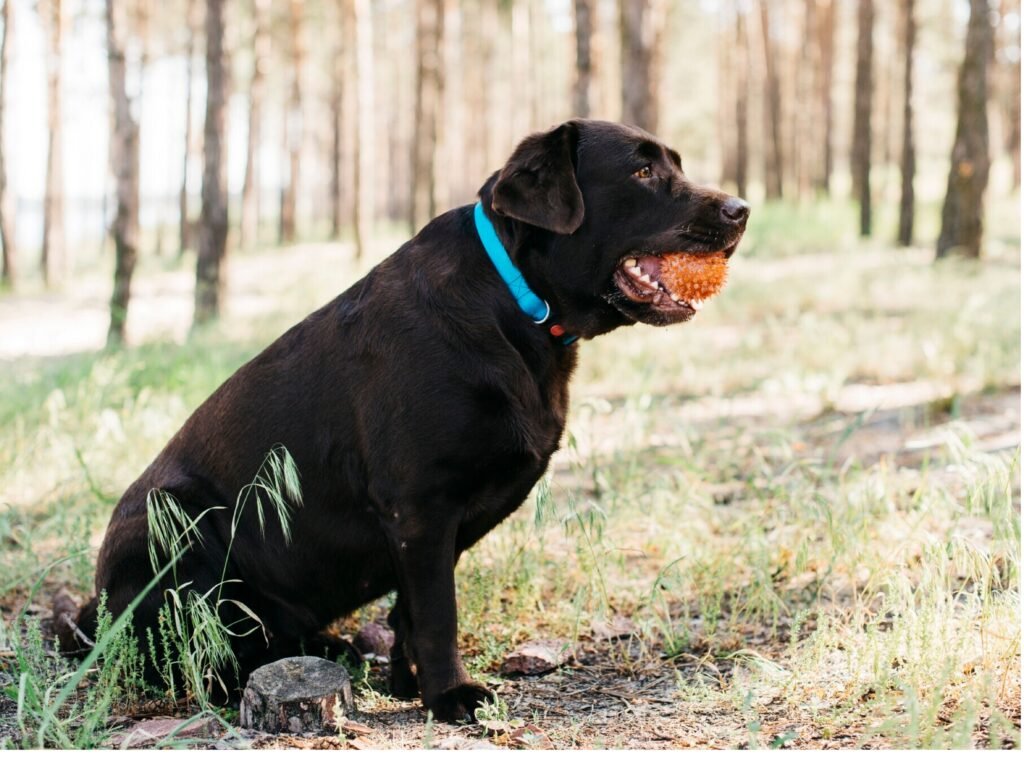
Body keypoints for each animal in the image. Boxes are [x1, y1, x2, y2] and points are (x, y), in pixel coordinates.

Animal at [59, 118, 749, 720]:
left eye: (675, 164)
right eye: (642, 171)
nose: (741, 209)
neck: (515, 303)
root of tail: (96, 607)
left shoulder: (433, 524)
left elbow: (412, 615)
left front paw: (409, 682)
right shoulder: (420, 507)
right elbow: (439, 614)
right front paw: (450, 698)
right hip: (177, 526)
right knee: (193, 657)